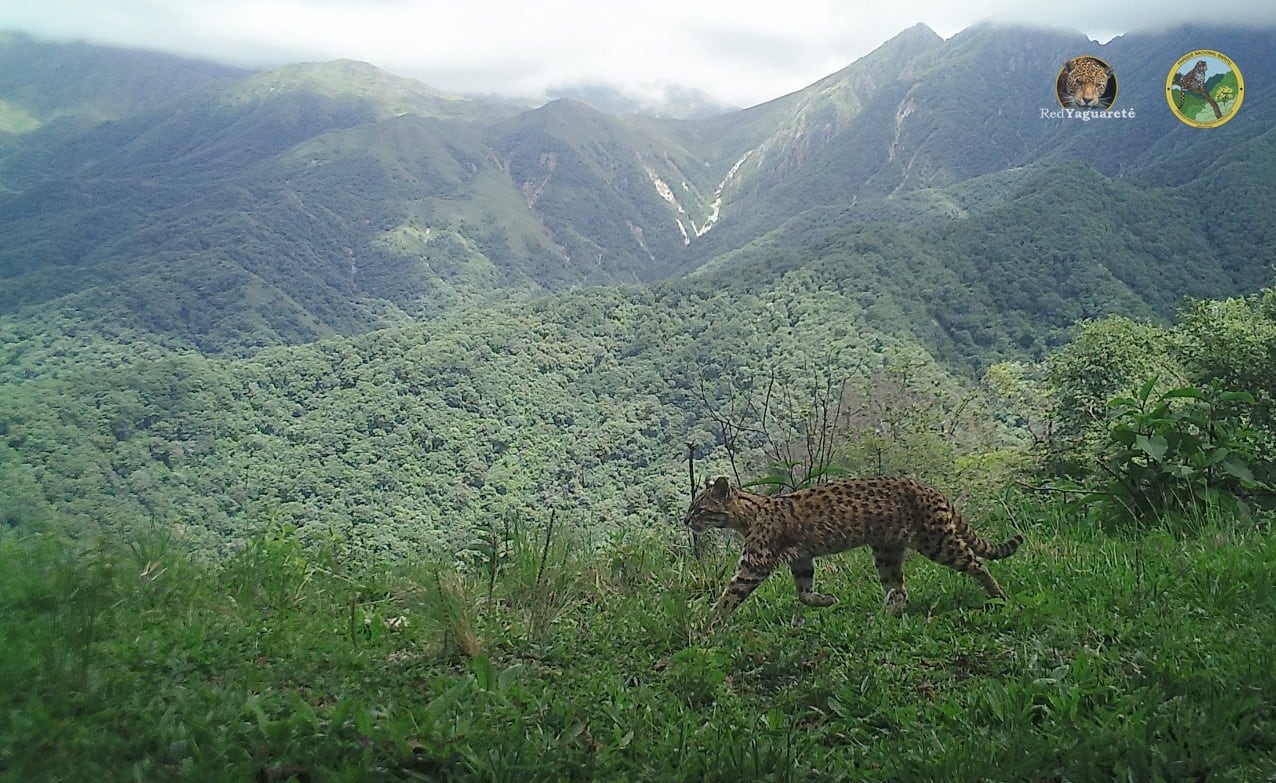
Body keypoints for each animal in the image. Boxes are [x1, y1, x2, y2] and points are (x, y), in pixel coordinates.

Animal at [683, 479, 1020, 619]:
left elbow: (729, 596)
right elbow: (804, 593)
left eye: (699, 509)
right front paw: (826, 600)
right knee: (898, 591)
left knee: (977, 563)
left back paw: (998, 595)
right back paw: (880, 619)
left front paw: (707, 624)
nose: (685, 520)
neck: (748, 514)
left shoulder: (755, 562)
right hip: (886, 551)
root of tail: (933, 490)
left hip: (937, 541)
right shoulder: (801, 559)